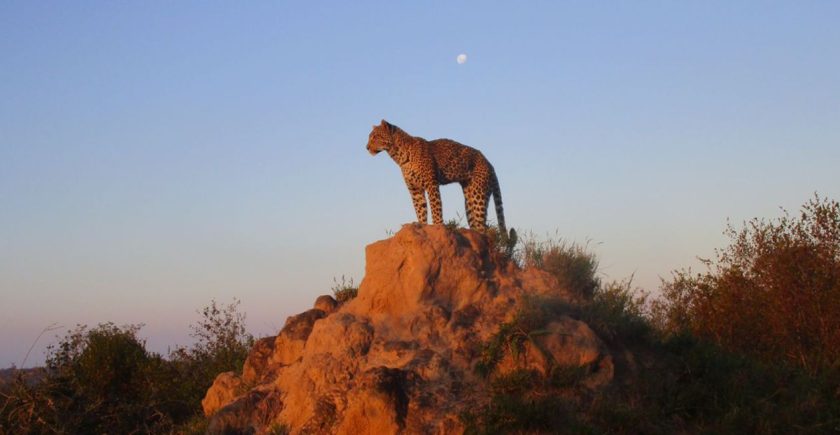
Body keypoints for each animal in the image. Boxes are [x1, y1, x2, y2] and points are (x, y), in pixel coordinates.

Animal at [366, 119, 508, 235]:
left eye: (375, 136)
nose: (366, 147)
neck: (399, 155)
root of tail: (489, 163)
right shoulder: (415, 190)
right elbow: (420, 210)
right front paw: (421, 225)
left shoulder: (431, 184)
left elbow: (436, 207)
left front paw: (438, 225)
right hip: (469, 198)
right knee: (476, 222)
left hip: (478, 195)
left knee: (483, 226)